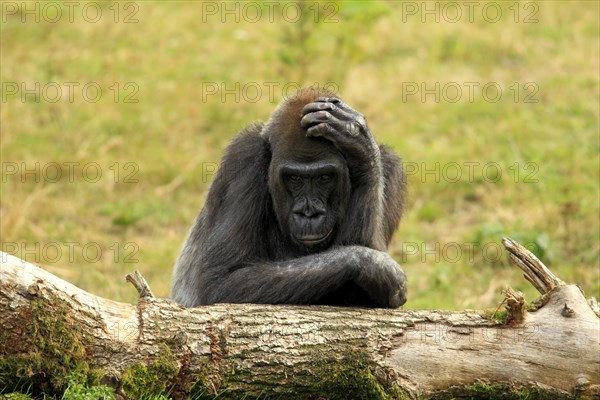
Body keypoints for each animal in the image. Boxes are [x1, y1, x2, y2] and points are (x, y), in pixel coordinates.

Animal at [172, 86, 408, 306]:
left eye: (324, 177)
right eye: (294, 178)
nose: (309, 213)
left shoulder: (391, 165)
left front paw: (357, 144)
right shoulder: (245, 155)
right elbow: (223, 280)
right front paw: (372, 264)